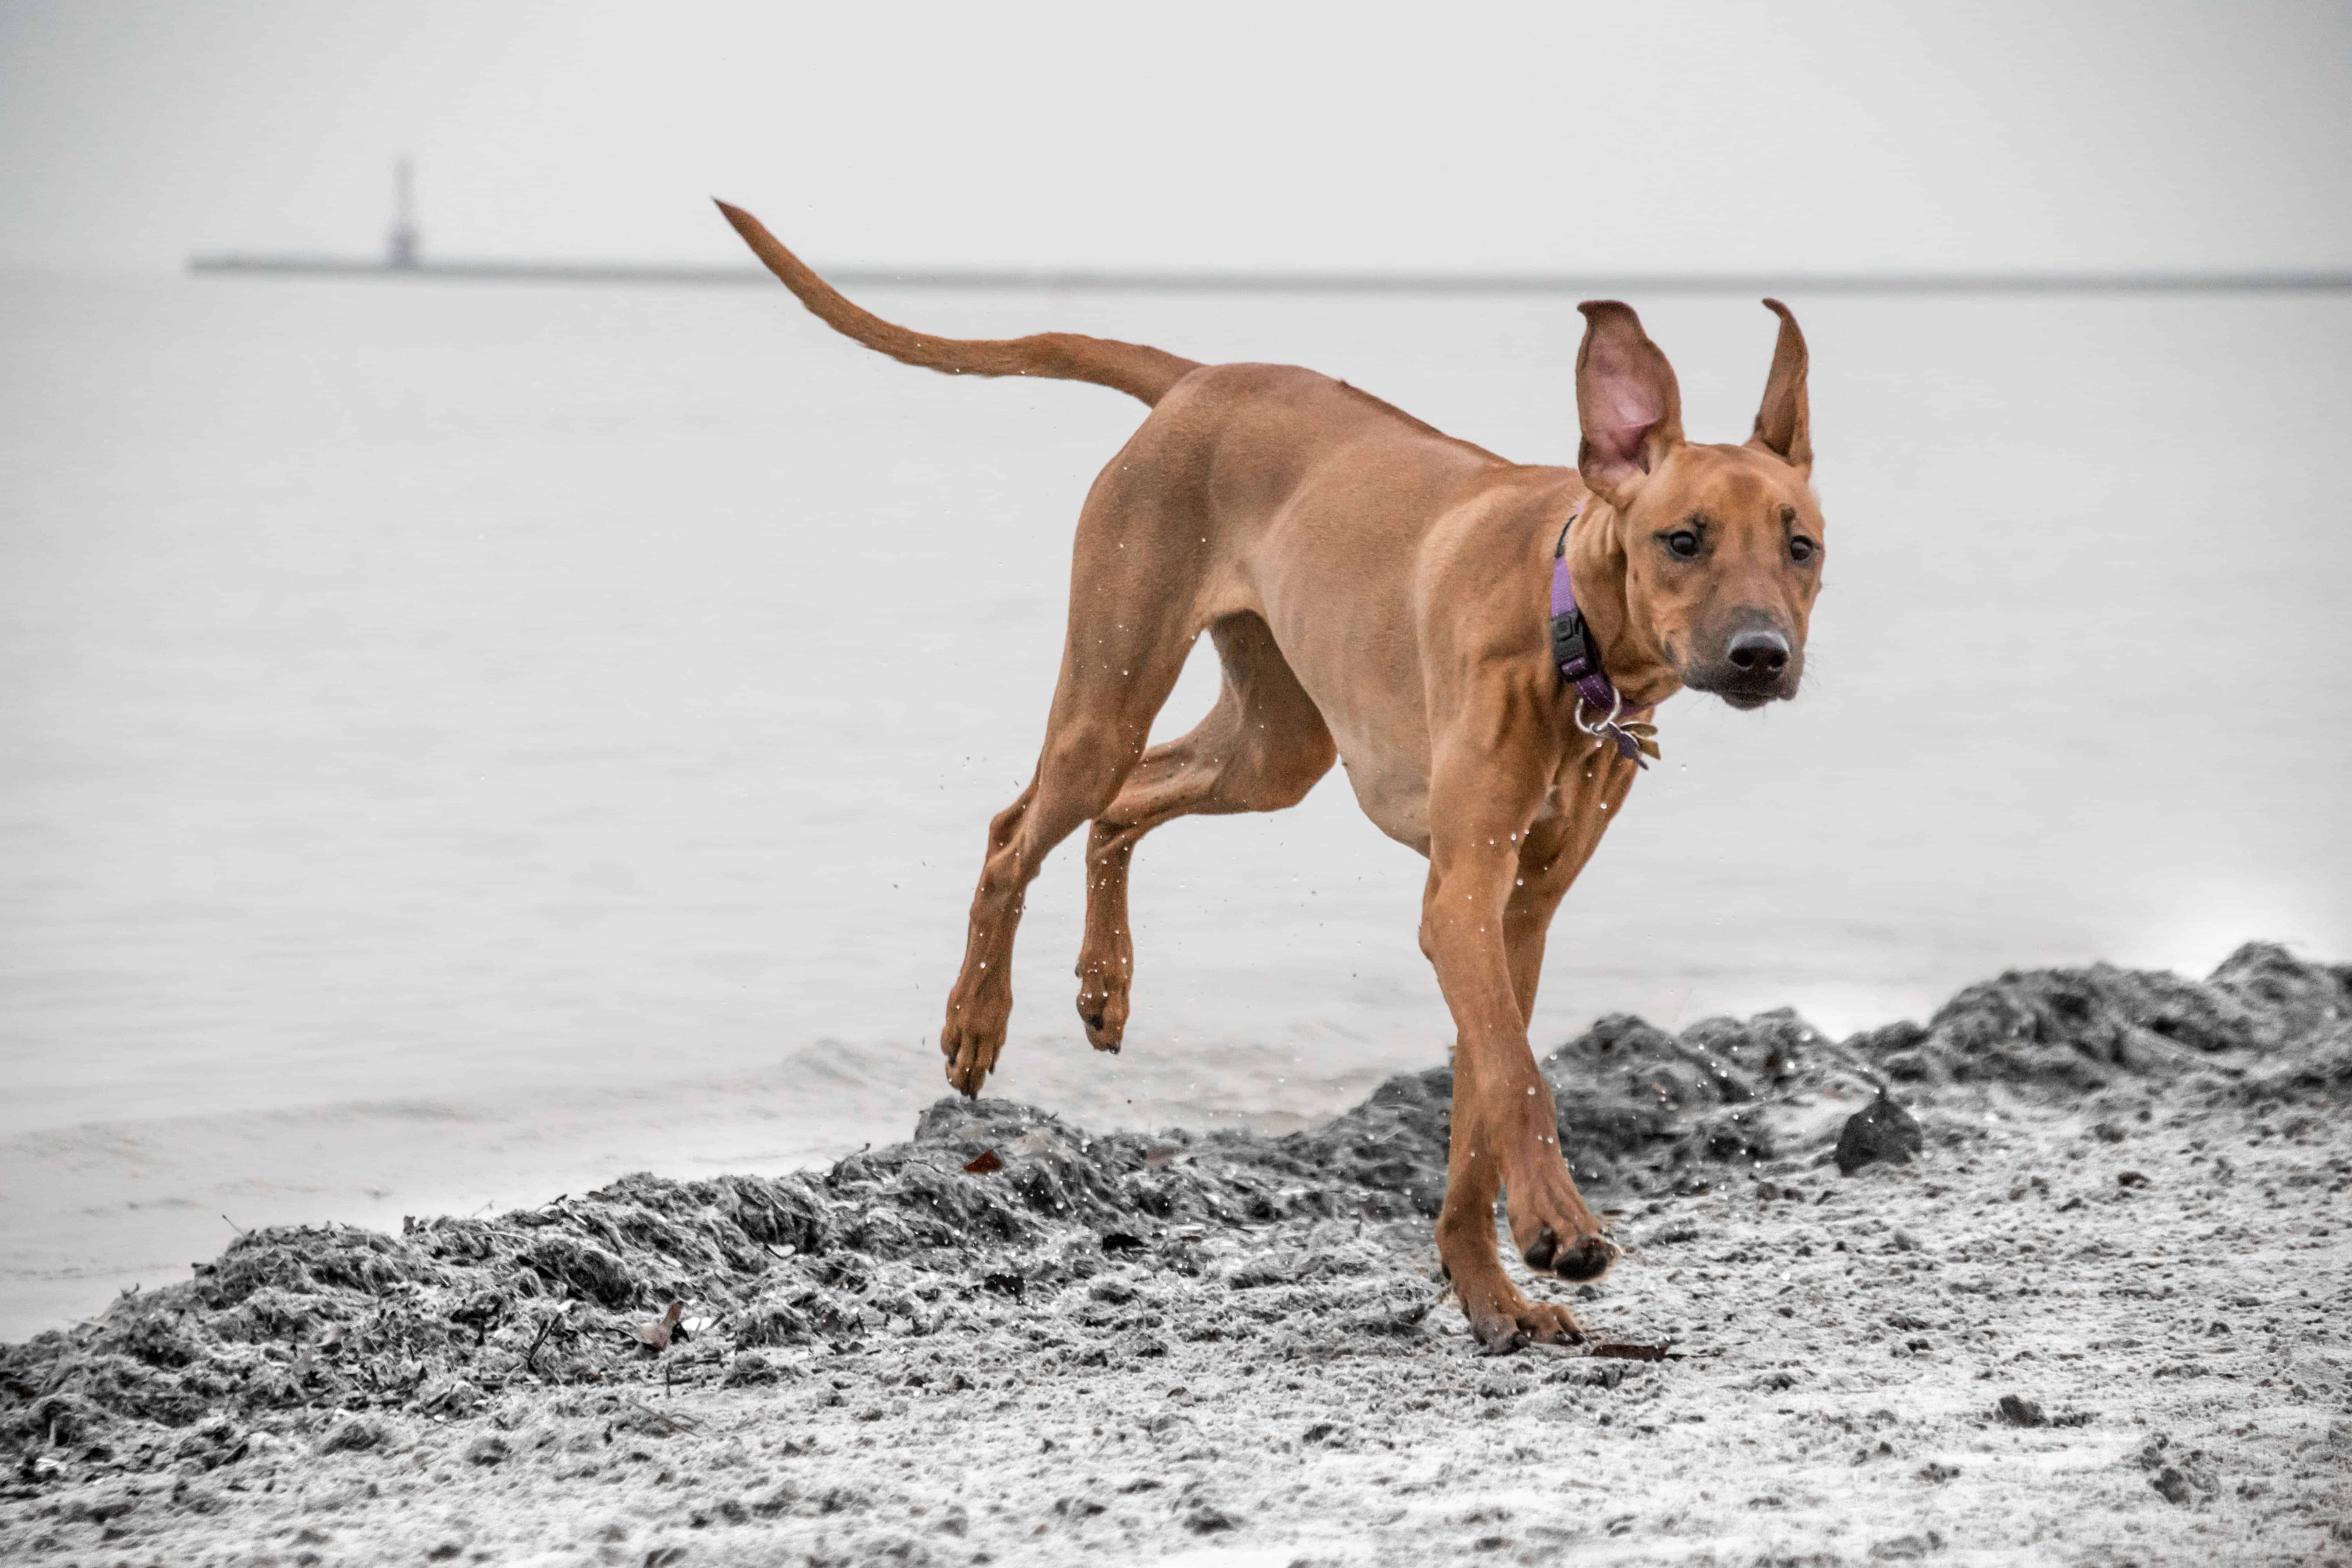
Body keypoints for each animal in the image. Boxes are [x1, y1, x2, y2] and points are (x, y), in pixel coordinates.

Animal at [715, 205, 1816, 1363]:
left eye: (1802, 547)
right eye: (1682, 540)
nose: (1761, 656)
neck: (1569, 632)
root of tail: (1203, 378)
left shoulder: (1517, 915)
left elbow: (1484, 1098)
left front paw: (1490, 1291)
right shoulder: (1463, 898)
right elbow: (1518, 1076)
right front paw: (1557, 1226)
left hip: (1277, 747)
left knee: (1123, 808)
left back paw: (1104, 980)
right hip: (1112, 692)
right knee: (1018, 829)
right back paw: (977, 1018)